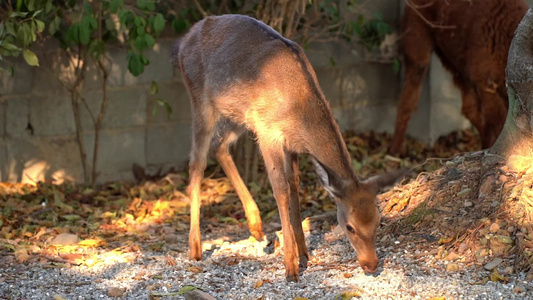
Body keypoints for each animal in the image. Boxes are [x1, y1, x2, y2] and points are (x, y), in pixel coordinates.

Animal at [171, 14, 400, 282]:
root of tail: (183, 41)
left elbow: (294, 187)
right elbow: (279, 188)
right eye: (350, 227)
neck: (296, 107)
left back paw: (256, 226)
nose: (371, 265)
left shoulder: (289, 143)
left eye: (378, 220)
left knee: (219, 146)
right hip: (200, 99)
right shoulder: (268, 131)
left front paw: (304, 255)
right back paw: (195, 249)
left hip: (237, 115)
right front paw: (291, 267)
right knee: (196, 162)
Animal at [386, 0, 528, 155]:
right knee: (408, 98)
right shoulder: (486, 82)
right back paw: (394, 149)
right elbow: (498, 121)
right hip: (418, 41)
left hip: (454, 60)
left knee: (469, 108)